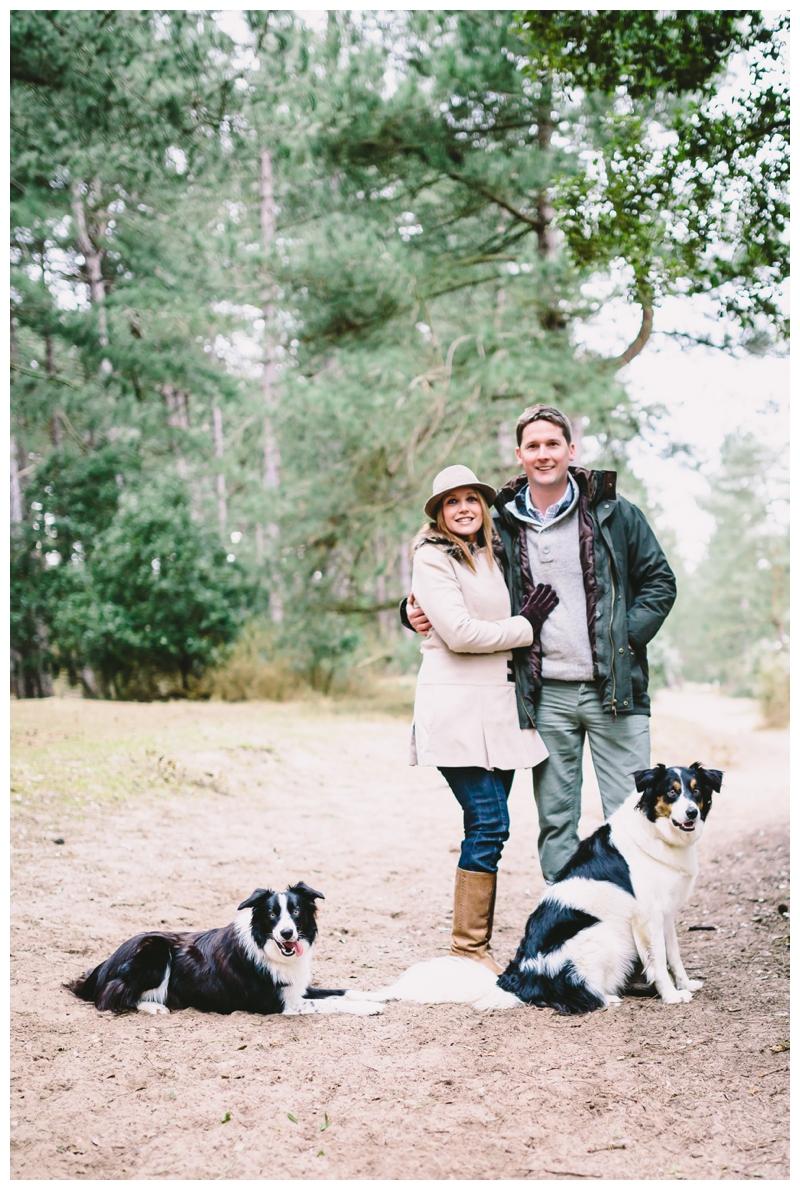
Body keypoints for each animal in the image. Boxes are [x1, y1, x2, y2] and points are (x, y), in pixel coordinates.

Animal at [68, 885, 380, 1013]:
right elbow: (330, 1003)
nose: (287, 933)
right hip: (154, 950)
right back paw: (154, 1008)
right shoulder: (280, 1004)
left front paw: (377, 996)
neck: (265, 946)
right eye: (271, 914)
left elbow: (342, 991)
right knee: (111, 997)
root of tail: (103, 965)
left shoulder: (296, 988)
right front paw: (369, 1009)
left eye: (296, 911)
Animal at [347, 766, 723, 1018]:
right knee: (577, 993)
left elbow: (673, 956)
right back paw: (608, 998)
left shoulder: (666, 913)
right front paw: (671, 995)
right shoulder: (646, 916)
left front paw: (685, 985)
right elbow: (657, 960)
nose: (691, 812)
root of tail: (517, 977)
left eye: (695, 791)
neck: (658, 834)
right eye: (671, 791)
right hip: (603, 935)